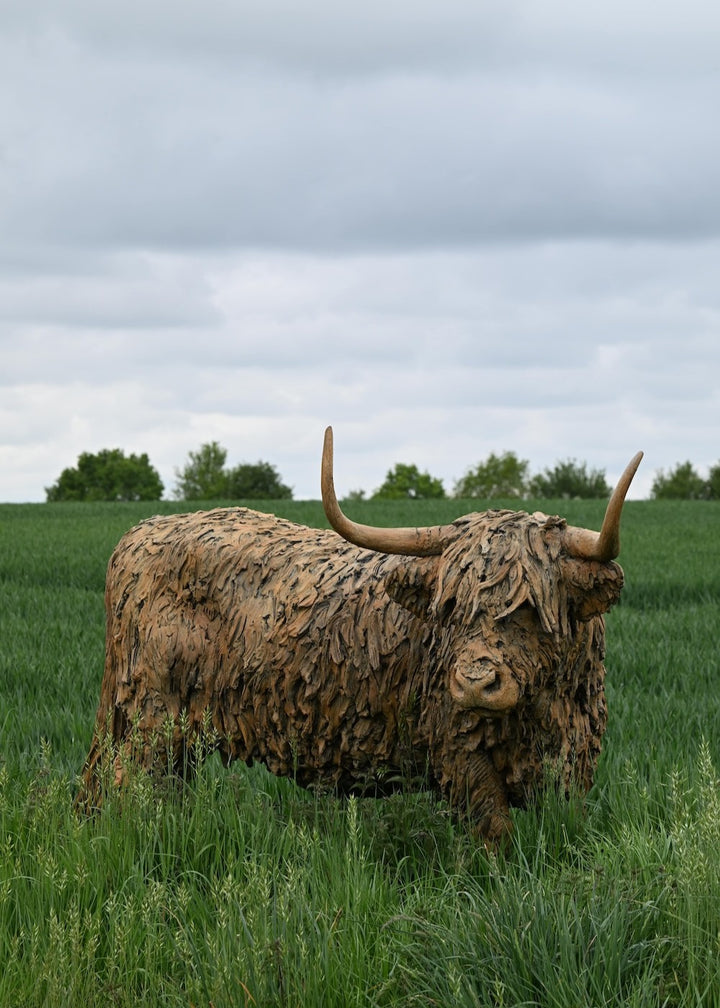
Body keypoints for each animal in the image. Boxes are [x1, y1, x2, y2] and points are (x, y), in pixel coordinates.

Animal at [77, 427, 642, 843]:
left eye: (527, 610)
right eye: (451, 609)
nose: (475, 683)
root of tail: (139, 535)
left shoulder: (573, 760)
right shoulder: (457, 751)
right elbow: (494, 833)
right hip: (149, 717)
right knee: (126, 786)